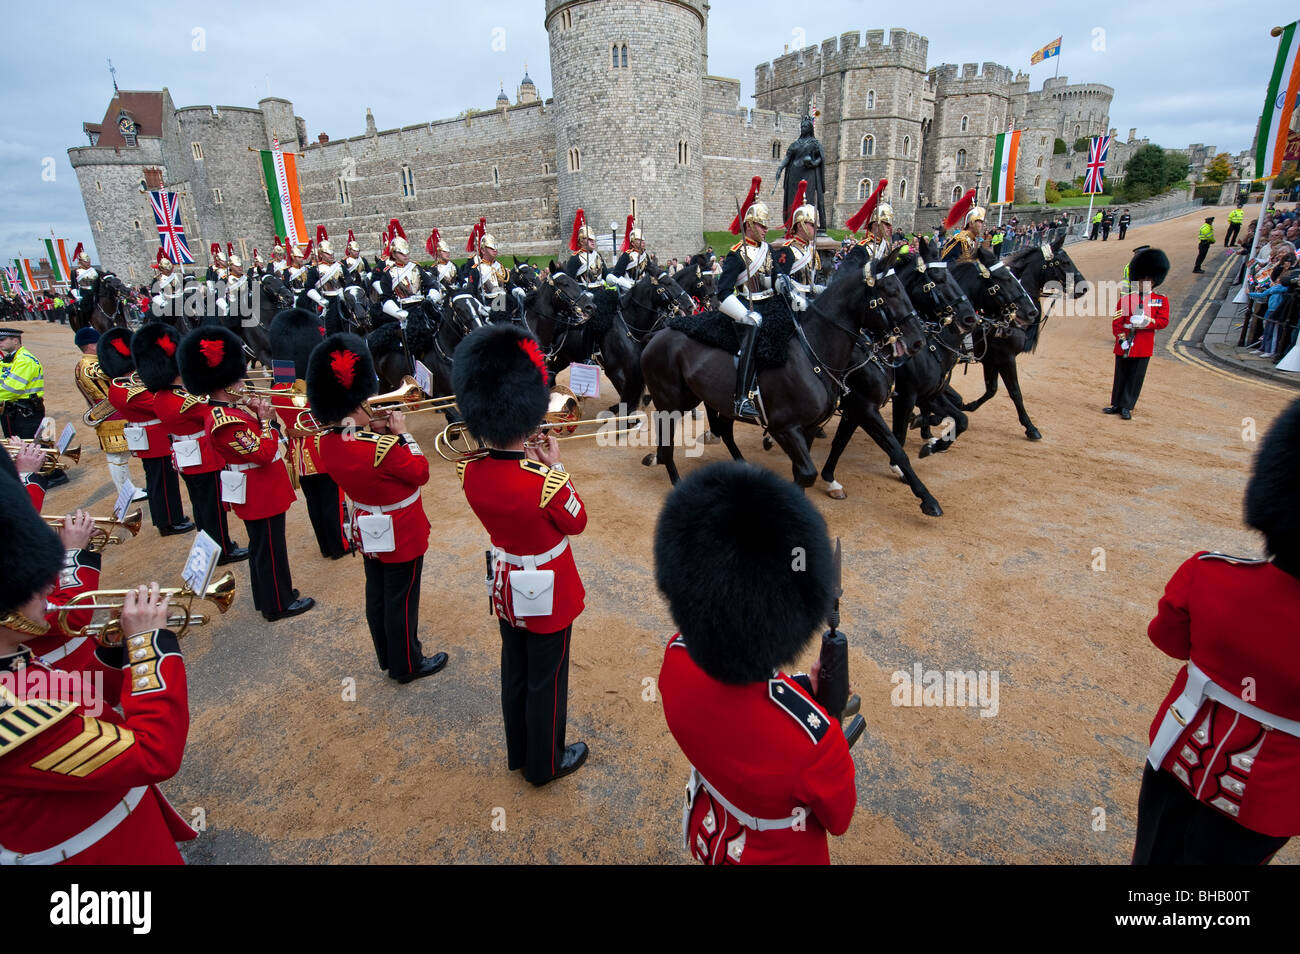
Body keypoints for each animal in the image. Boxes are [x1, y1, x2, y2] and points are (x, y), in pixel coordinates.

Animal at [639, 243, 925, 488]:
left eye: (904, 288)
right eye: (890, 291)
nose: (918, 341)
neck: (812, 352)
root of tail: (659, 335)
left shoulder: (811, 427)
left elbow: (804, 473)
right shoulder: (786, 428)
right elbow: (808, 473)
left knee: (722, 432)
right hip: (671, 401)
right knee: (668, 443)